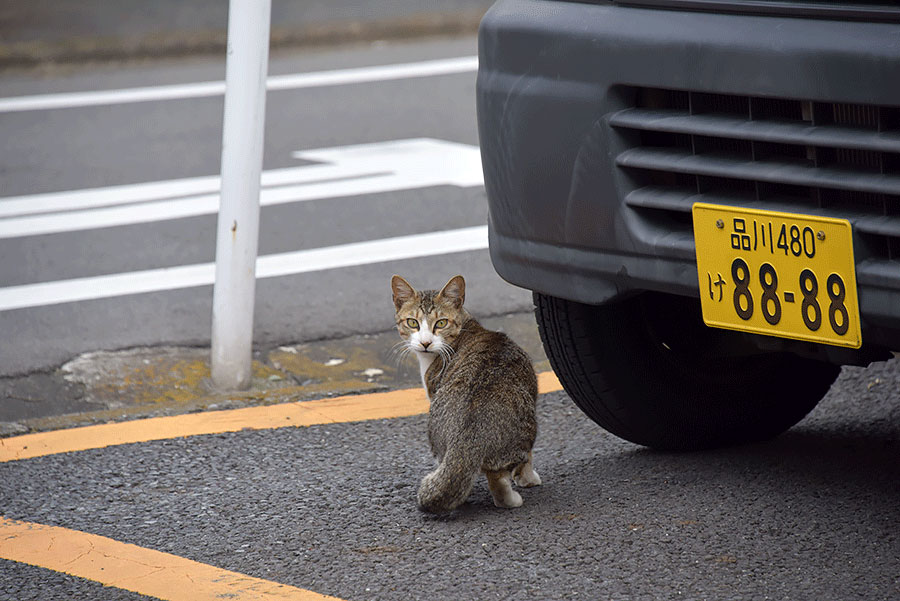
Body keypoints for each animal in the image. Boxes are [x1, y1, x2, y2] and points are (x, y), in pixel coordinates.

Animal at [388, 274, 540, 512]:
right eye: (412, 322)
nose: (425, 342)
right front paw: (528, 478)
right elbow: (528, 460)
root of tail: (466, 439)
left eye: (441, 323)